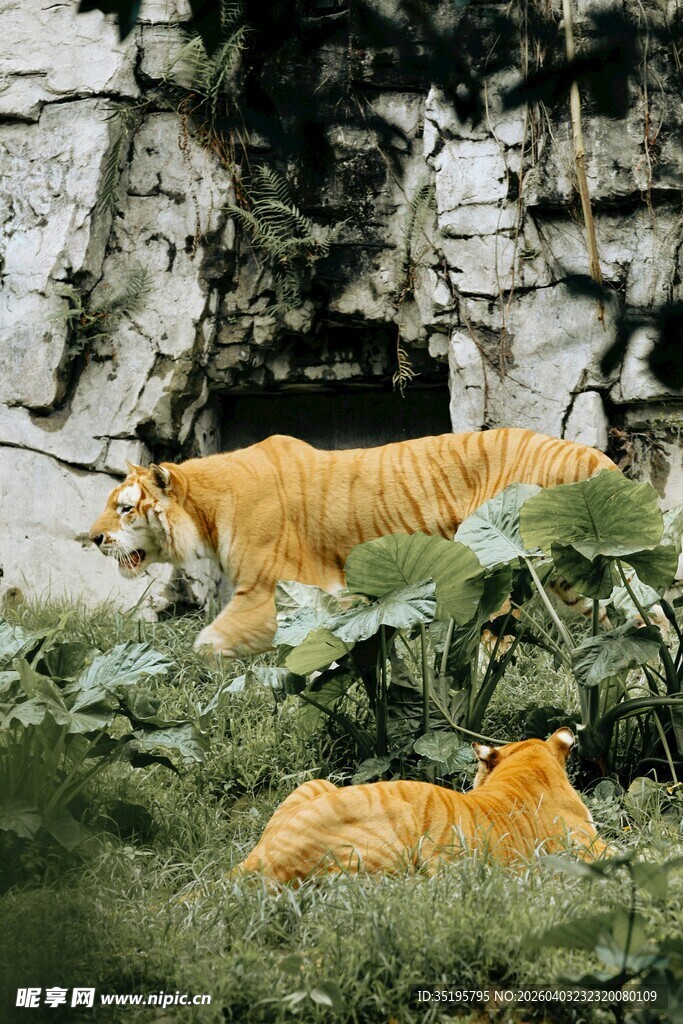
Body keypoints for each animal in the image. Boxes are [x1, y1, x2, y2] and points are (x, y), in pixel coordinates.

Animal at [88, 428, 617, 655]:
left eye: (125, 507)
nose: (92, 538)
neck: (207, 512)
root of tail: (583, 452)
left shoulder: (267, 591)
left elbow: (207, 642)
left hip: (505, 565)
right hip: (570, 574)